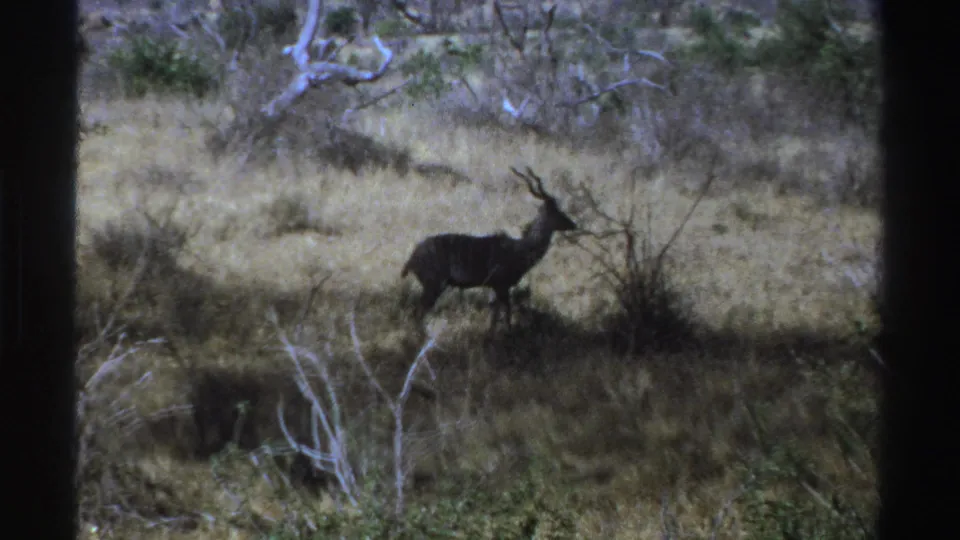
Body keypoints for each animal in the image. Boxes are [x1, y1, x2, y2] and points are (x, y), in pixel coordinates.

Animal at [400, 167, 577, 331]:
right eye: (557, 212)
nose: (573, 224)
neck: (521, 250)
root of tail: (411, 259)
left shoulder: (495, 287)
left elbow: (495, 314)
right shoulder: (502, 285)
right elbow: (506, 313)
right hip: (434, 284)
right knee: (418, 312)